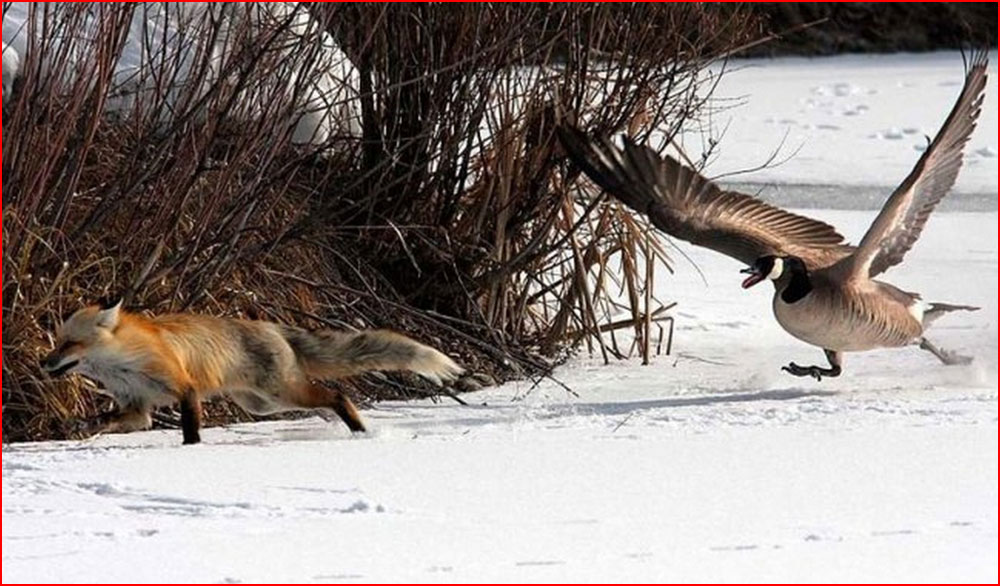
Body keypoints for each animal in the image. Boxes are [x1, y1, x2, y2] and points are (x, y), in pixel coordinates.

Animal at [37, 296, 462, 442]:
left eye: (69, 344)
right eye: (57, 342)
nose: (44, 363)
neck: (125, 365)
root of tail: (273, 326)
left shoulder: (185, 388)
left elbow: (191, 429)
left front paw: (191, 451)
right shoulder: (137, 407)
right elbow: (105, 420)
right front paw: (80, 428)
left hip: (280, 392)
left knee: (338, 394)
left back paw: (359, 431)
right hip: (263, 404)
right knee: (328, 401)